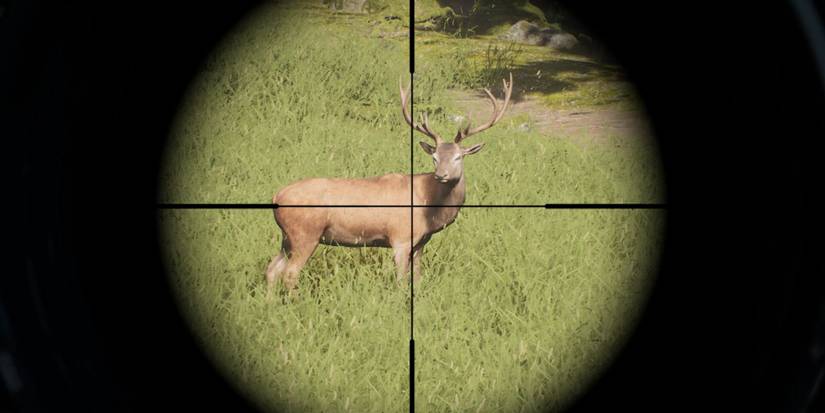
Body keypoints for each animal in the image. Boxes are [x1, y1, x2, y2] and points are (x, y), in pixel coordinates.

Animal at [265, 74, 513, 291]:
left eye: (458, 157)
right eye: (434, 157)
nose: (440, 175)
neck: (429, 207)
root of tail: (277, 196)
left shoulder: (421, 242)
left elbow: (418, 278)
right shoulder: (400, 237)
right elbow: (401, 281)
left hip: (287, 237)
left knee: (271, 269)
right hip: (306, 233)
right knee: (290, 273)